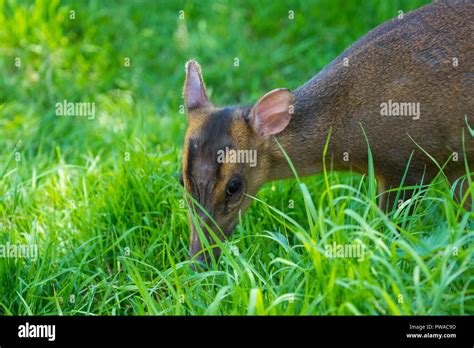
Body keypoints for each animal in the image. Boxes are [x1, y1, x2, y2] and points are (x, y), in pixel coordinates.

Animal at [181, 0, 474, 266]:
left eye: (234, 187)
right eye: (181, 180)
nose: (199, 261)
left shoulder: (409, 163)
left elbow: (392, 229)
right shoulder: (454, 164)